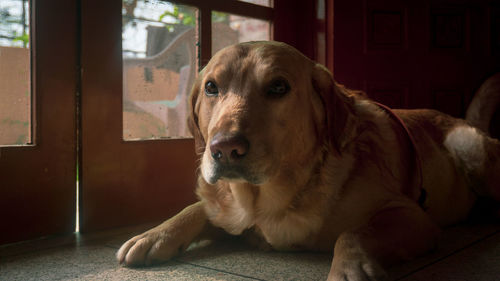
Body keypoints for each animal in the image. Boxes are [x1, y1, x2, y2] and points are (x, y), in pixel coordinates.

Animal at [116, 40, 500, 278]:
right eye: (211, 87)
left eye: (278, 87)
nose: (224, 149)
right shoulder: (227, 211)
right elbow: (196, 207)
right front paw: (154, 235)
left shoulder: (413, 216)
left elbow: (354, 232)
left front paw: (349, 269)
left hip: (470, 148)